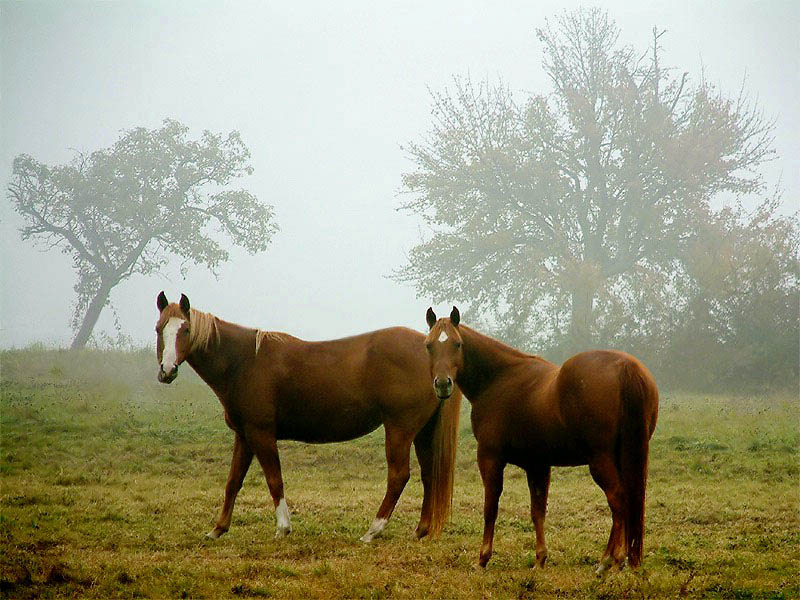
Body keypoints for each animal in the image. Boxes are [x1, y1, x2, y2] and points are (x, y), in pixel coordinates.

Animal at [154, 292, 462, 540]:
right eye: (159, 329)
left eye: (185, 329)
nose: (167, 370)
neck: (244, 362)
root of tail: (436, 358)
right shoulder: (244, 435)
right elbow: (233, 482)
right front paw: (218, 529)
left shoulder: (261, 434)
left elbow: (274, 479)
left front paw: (283, 528)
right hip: (422, 431)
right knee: (428, 474)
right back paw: (421, 530)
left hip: (399, 429)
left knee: (399, 476)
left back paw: (373, 530)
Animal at [422, 310, 660, 572]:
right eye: (429, 345)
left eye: (457, 344)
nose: (442, 384)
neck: (499, 379)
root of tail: (624, 366)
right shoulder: (537, 465)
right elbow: (538, 512)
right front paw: (540, 559)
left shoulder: (490, 458)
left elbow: (490, 508)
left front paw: (483, 558)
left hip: (601, 461)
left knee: (618, 501)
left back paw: (608, 560)